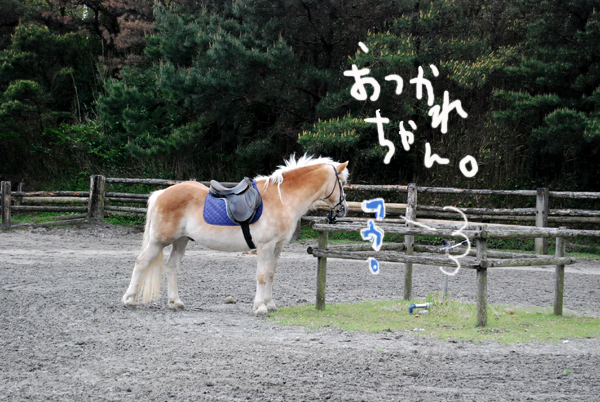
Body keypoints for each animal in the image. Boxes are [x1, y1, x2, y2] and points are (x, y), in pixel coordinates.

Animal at [122, 155, 349, 316]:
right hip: (159, 240)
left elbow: (271, 275)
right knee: (141, 262)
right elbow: (262, 275)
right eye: (342, 183)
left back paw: (175, 302)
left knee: (171, 267)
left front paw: (270, 305)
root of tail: (162, 193)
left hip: (181, 241)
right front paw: (260, 307)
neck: (282, 198)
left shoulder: (277, 247)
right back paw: (129, 299)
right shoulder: (265, 246)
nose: (343, 209)